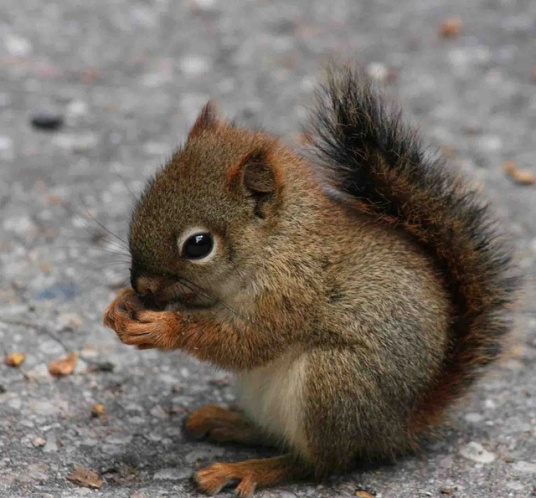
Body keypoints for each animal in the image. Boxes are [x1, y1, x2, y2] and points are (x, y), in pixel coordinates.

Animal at [102, 65, 516, 494]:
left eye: (198, 245)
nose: (143, 286)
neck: (278, 243)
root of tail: (398, 428)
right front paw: (121, 306)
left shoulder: (291, 293)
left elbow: (247, 342)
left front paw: (163, 328)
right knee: (275, 435)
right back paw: (226, 422)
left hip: (333, 383)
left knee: (317, 464)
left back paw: (247, 469)